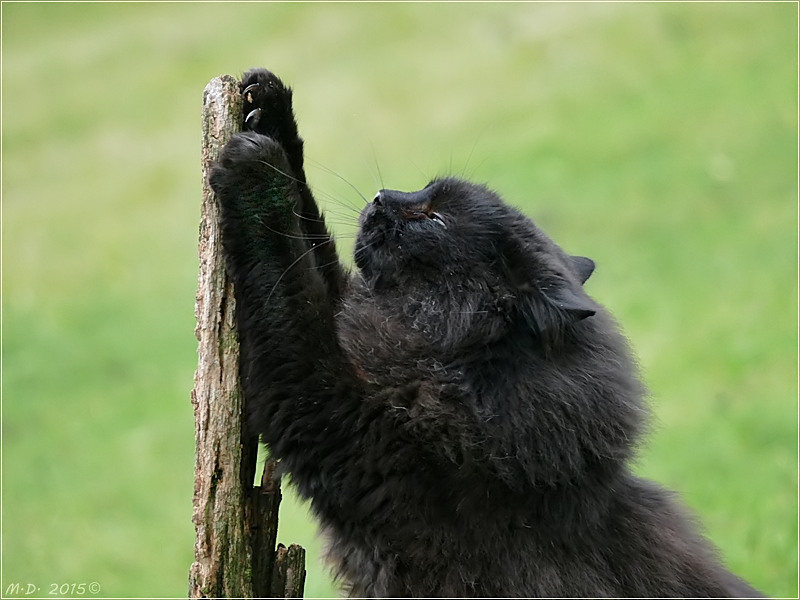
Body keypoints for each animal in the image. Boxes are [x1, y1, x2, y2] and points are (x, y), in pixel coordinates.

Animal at [209, 68, 764, 596]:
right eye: (422, 194)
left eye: (432, 217)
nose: (381, 197)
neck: (462, 374)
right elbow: (310, 242)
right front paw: (269, 109)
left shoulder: (327, 407)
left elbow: (290, 276)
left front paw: (256, 167)